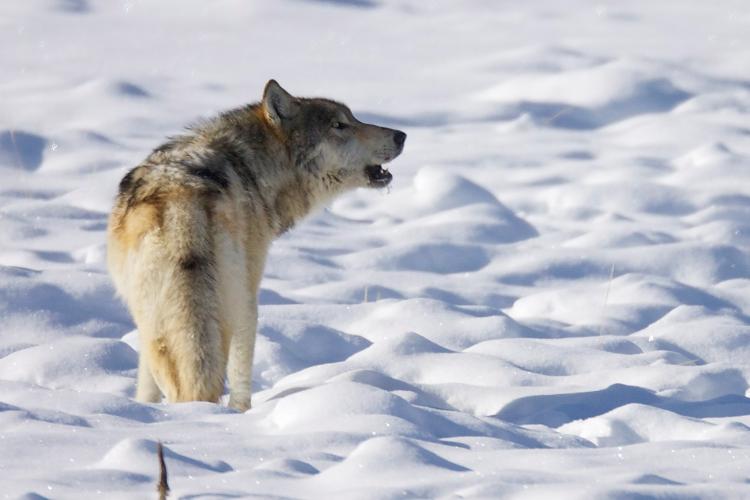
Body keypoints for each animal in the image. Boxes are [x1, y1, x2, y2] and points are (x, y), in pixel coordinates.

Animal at [107, 80, 405, 411]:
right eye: (339, 125)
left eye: (352, 118)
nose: (401, 135)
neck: (251, 165)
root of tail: (180, 201)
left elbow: (146, 380)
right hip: (240, 300)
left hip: (152, 316)